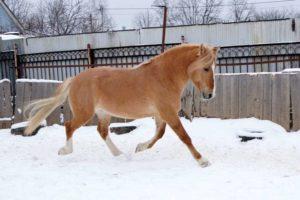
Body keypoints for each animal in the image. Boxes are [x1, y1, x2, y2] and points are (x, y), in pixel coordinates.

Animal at [24, 43, 218, 167]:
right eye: (206, 68)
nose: (209, 94)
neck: (163, 76)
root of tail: (75, 79)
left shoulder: (161, 114)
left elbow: (159, 134)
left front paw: (140, 147)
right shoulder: (168, 113)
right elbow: (184, 137)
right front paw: (203, 161)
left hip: (103, 113)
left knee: (102, 131)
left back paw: (119, 154)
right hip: (84, 113)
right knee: (69, 126)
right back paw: (65, 151)